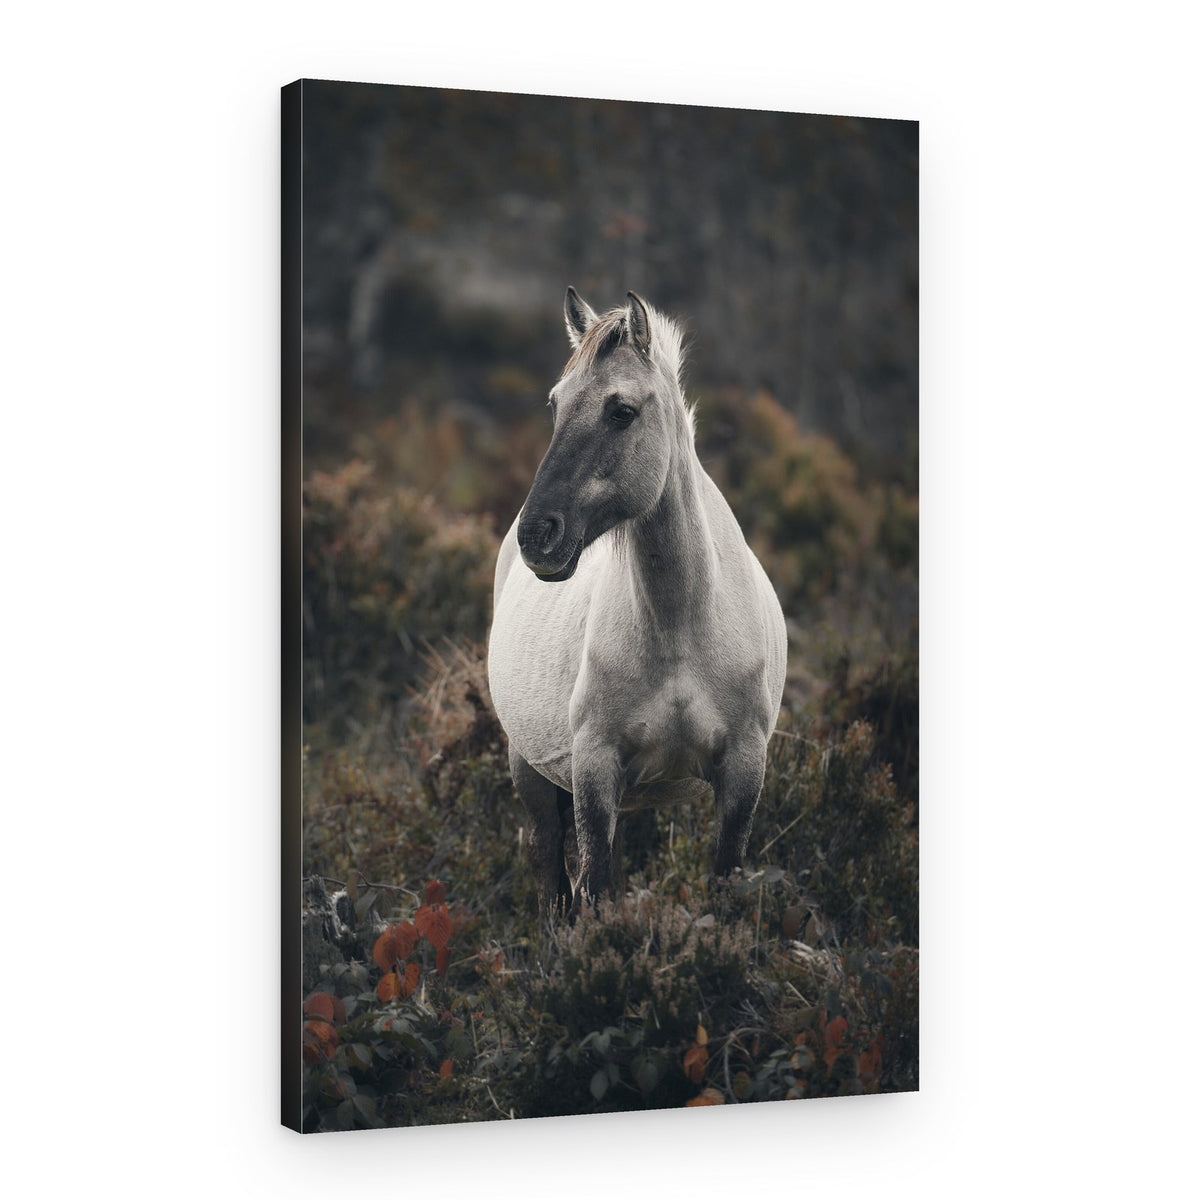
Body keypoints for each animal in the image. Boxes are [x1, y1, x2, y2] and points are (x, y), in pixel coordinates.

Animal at [487, 288, 788, 916]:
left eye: (620, 411)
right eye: (556, 404)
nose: (537, 536)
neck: (682, 626)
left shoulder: (744, 773)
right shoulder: (595, 771)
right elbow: (595, 890)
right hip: (530, 772)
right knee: (553, 877)